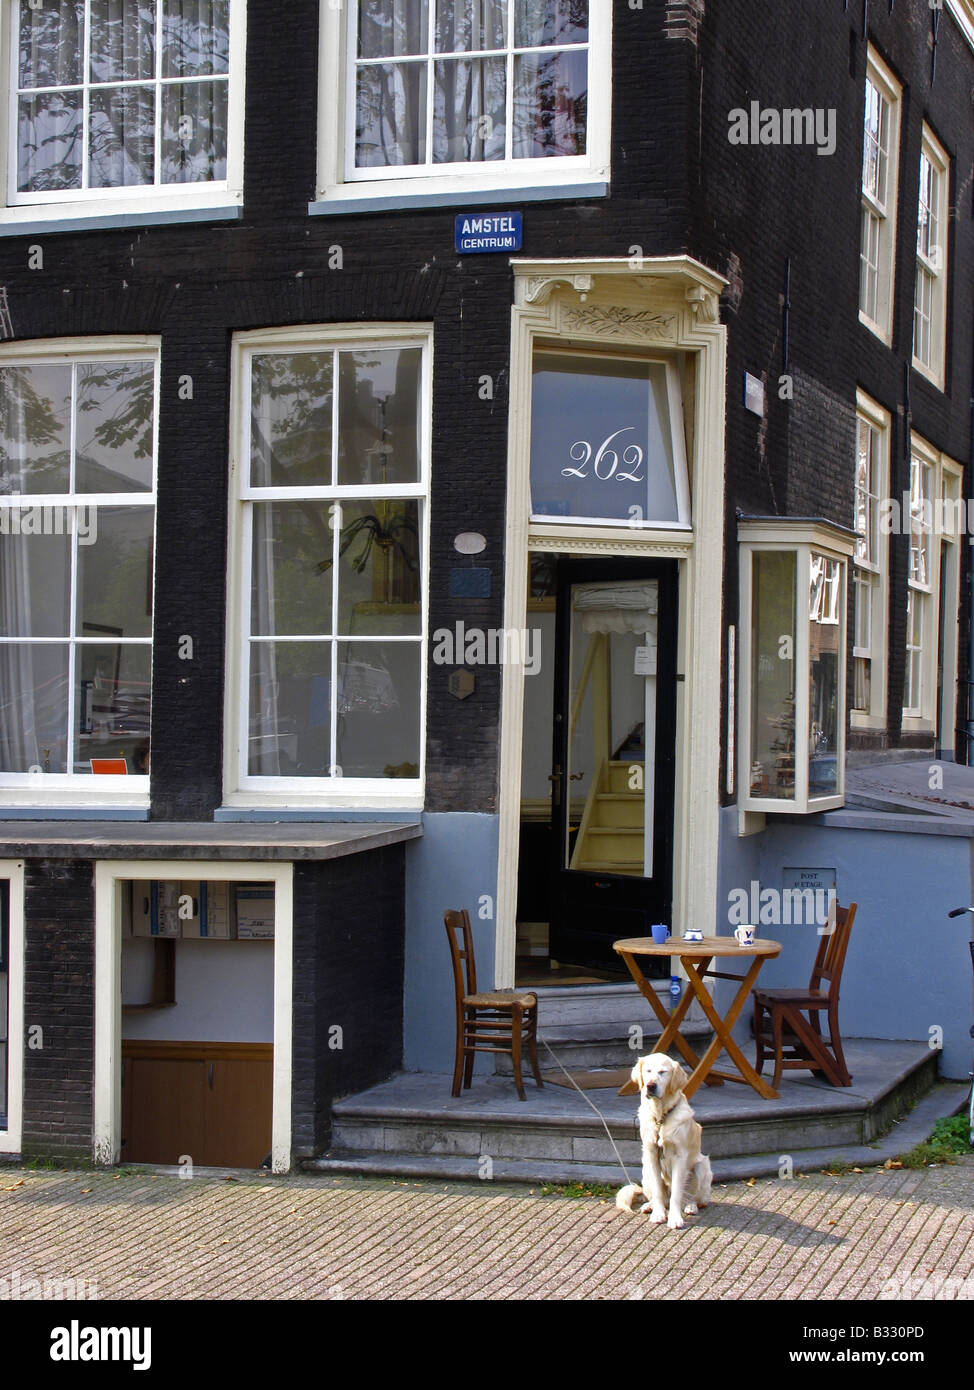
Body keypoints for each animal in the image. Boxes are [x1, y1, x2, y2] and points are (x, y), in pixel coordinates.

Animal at [619, 1050, 711, 1228]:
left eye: (663, 1072)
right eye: (648, 1071)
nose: (650, 1086)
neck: (661, 1117)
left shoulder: (679, 1156)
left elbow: (677, 1193)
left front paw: (674, 1219)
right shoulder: (651, 1153)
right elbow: (657, 1191)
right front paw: (658, 1214)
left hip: (701, 1167)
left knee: (693, 1198)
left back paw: (690, 1206)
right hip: (645, 1170)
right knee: (658, 1196)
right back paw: (649, 1206)